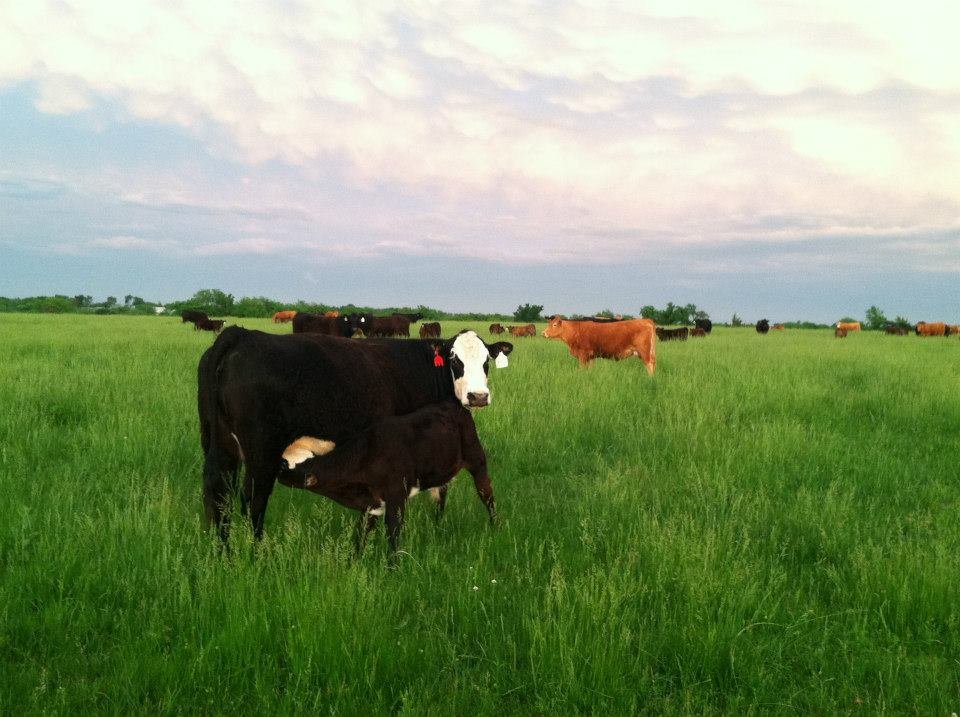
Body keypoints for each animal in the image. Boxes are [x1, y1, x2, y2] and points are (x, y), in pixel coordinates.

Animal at [281, 401, 493, 555]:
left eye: (283, 465)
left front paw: (394, 569)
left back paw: (495, 528)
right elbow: (361, 535)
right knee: (440, 499)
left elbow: (393, 533)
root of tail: (455, 404)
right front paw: (353, 562)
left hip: (477, 461)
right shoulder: (371, 505)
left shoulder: (396, 497)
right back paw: (437, 527)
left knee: (487, 496)